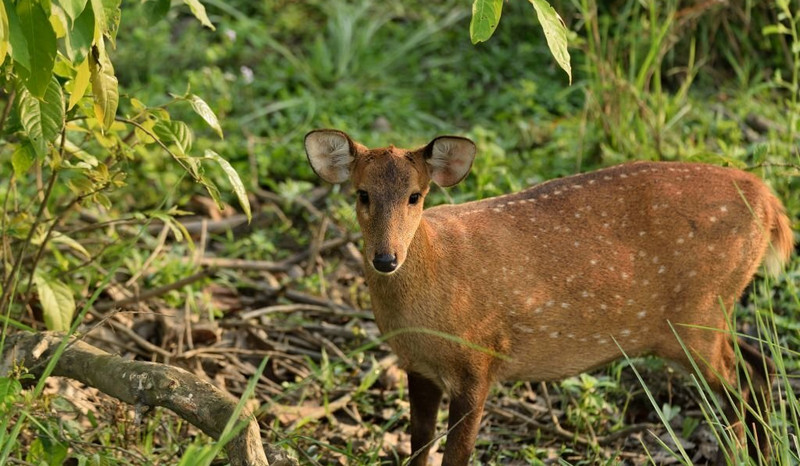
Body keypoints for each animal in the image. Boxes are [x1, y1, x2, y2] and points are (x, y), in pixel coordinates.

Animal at [302, 128, 792, 466]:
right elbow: (418, 445)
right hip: (711, 313)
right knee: (760, 364)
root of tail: (769, 202)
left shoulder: (480, 357)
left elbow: (456, 454)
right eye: (362, 194)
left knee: (741, 384)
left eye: (415, 196)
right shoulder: (417, 366)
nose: (385, 258)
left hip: (698, 313)